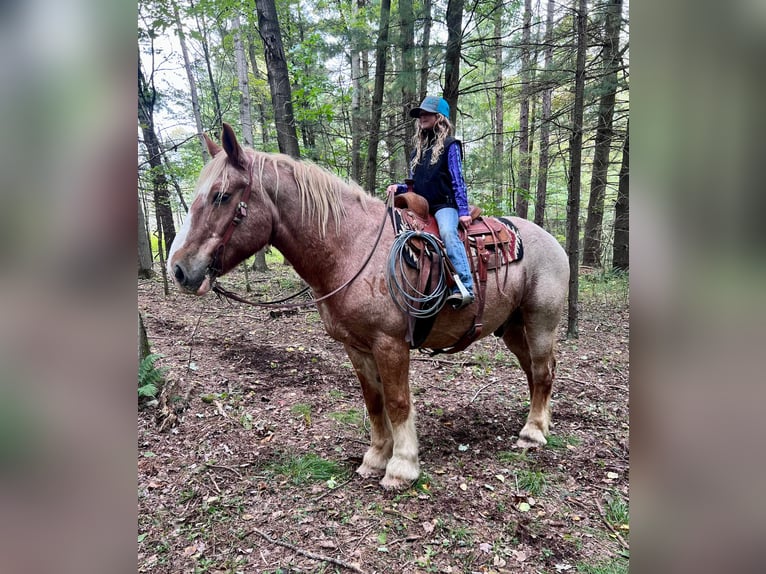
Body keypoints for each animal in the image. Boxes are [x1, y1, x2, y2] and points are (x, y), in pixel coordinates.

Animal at [171, 122, 572, 490]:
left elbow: (397, 402)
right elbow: (374, 402)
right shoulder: (357, 346)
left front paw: (401, 466)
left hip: (541, 321)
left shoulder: (390, 343)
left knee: (542, 370)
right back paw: (538, 421)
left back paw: (532, 432)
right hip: (512, 327)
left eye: (221, 196)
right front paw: (376, 457)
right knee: (534, 370)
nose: (178, 269)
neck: (351, 247)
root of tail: (552, 240)